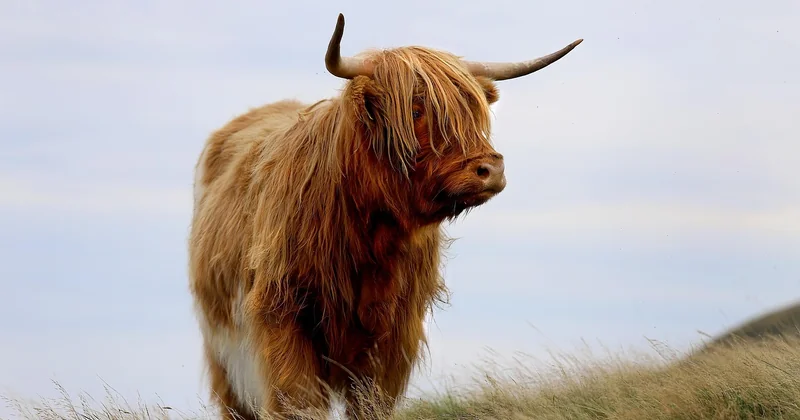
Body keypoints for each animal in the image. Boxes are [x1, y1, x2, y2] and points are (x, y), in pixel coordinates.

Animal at [188, 13, 581, 420]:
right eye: (416, 110)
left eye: (474, 111)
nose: (490, 169)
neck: (369, 235)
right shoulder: (283, 313)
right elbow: (296, 398)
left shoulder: (394, 332)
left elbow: (371, 401)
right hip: (223, 350)